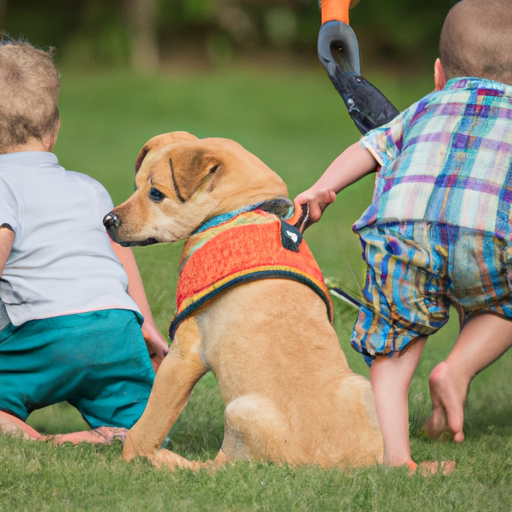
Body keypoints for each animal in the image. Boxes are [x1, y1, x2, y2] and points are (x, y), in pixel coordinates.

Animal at [104, 131, 382, 468]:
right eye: (137, 187)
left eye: (156, 193)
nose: (107, 220)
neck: (237, 212)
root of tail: (325, 467)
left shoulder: (184, 353)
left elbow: (148, 424)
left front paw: (132, 457)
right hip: (362, 388)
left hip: (240, 411)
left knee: (219, 467)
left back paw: (166, 460)